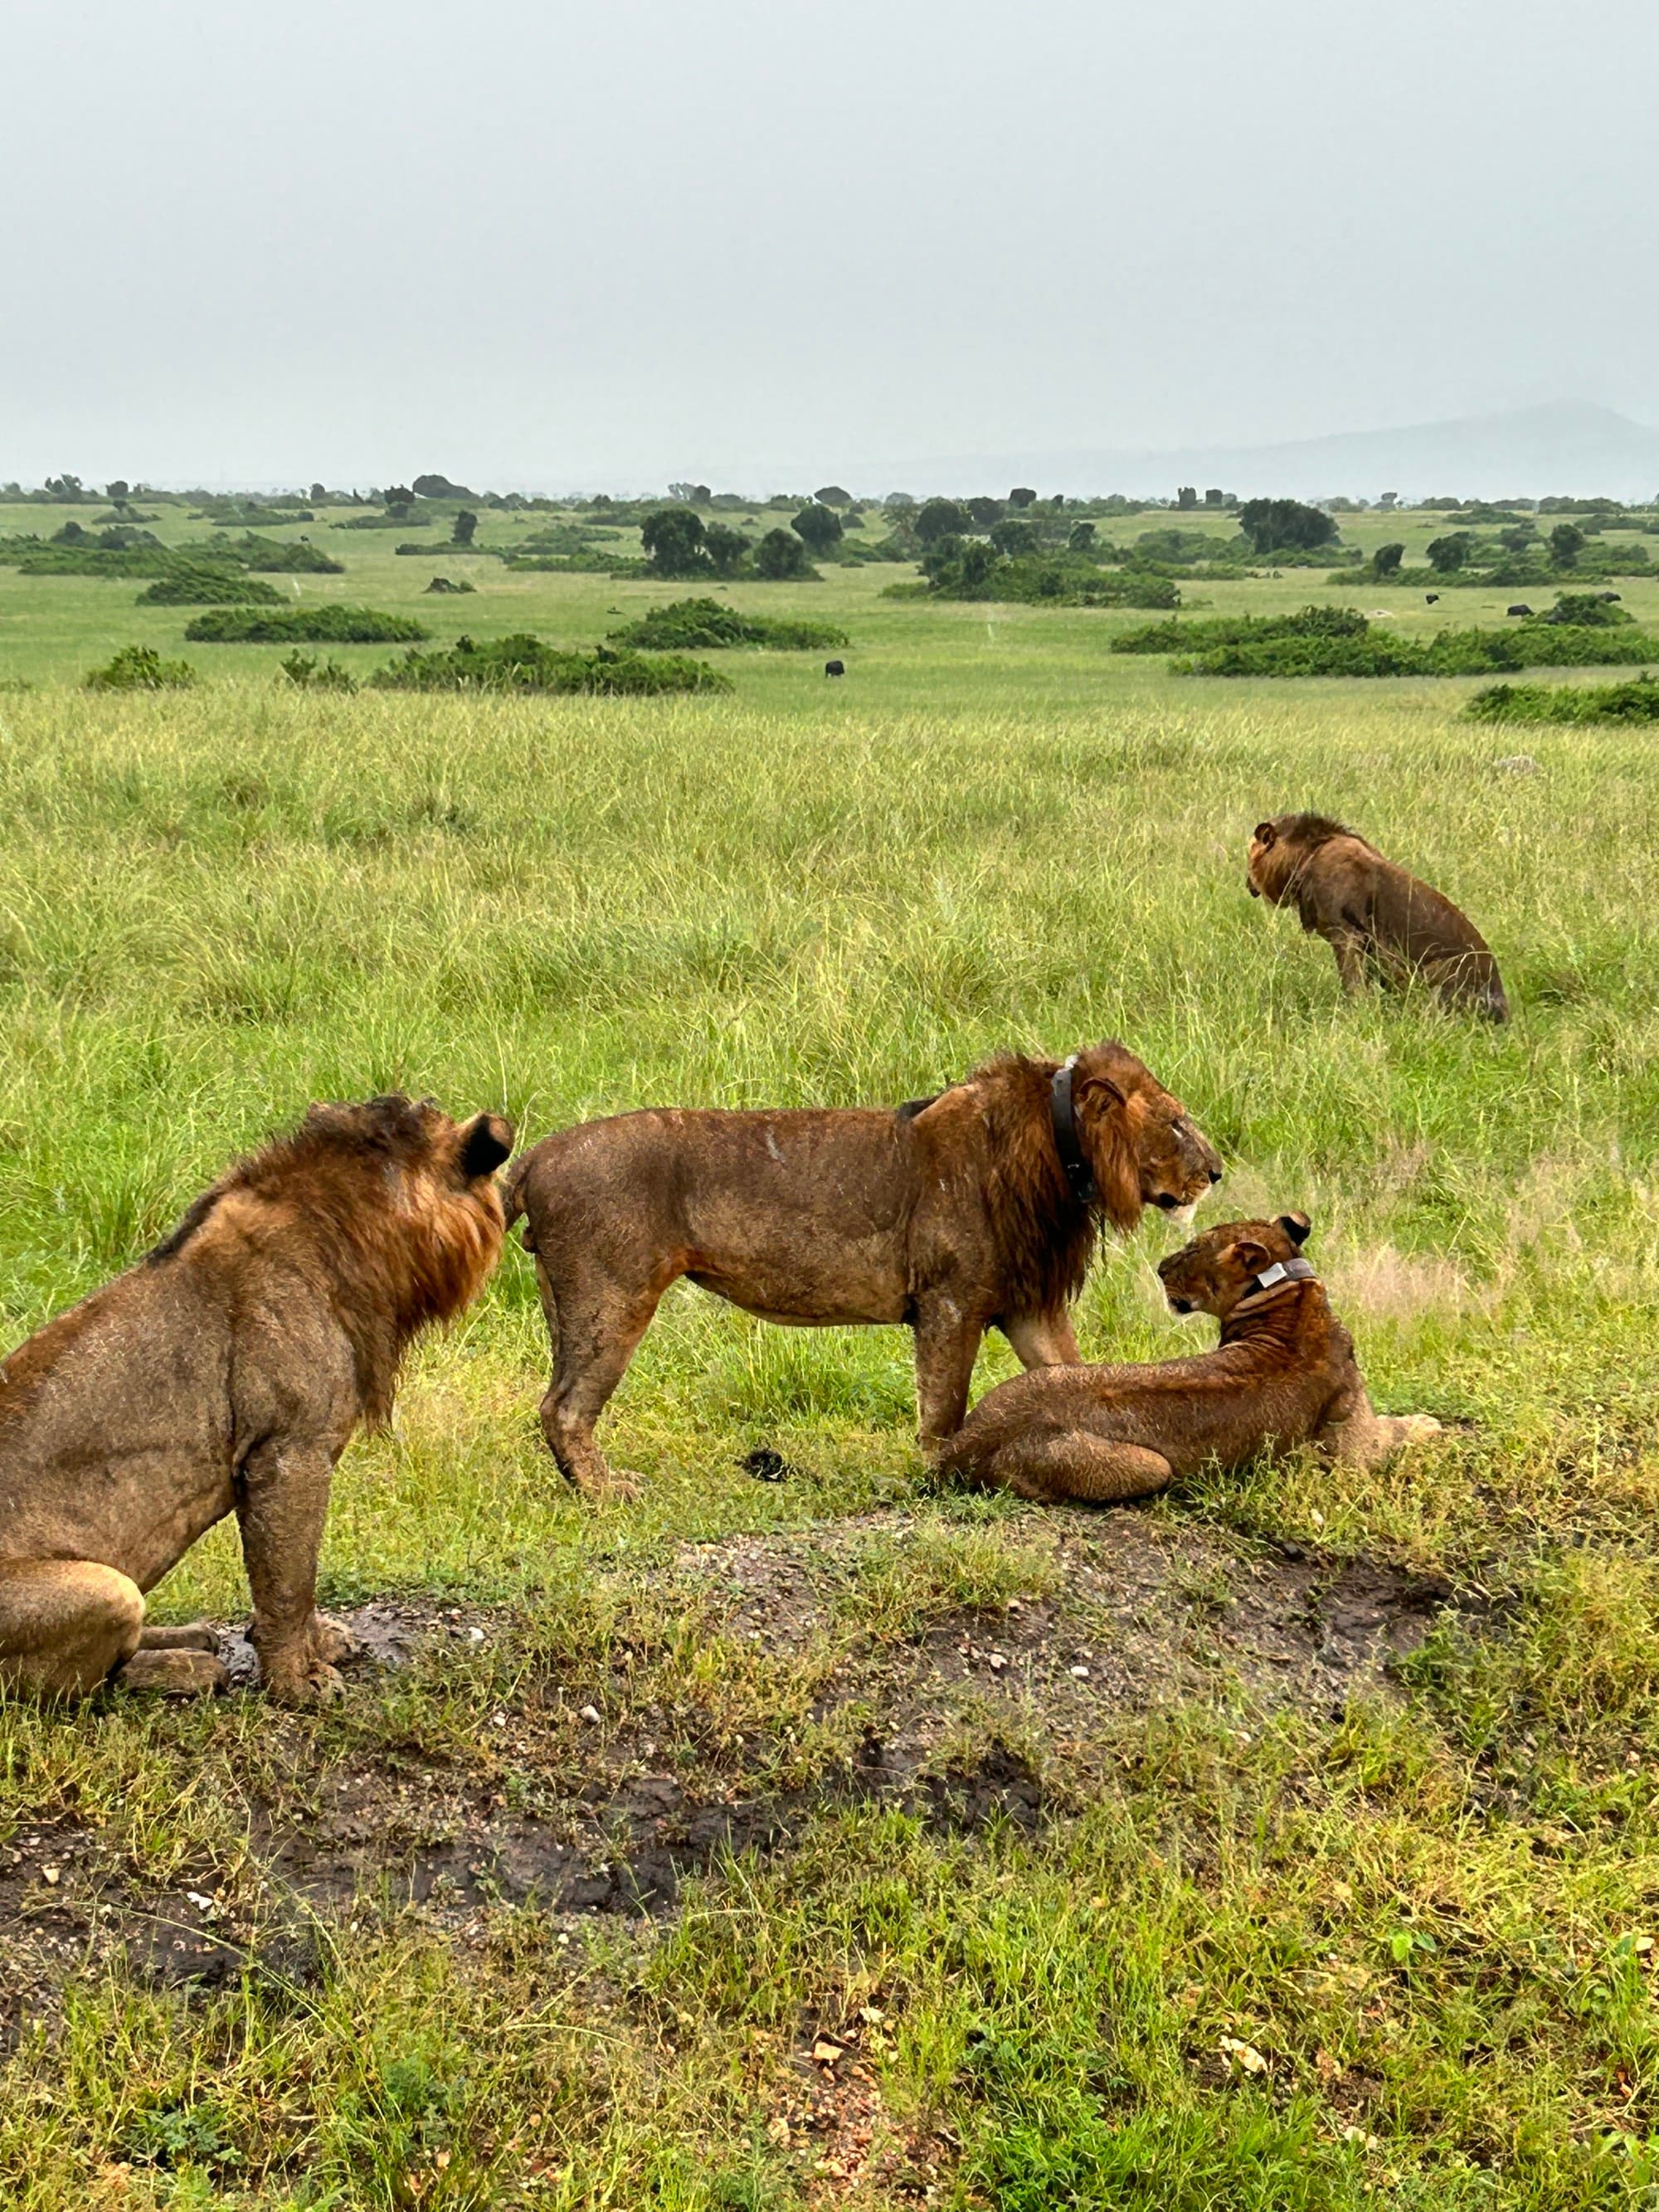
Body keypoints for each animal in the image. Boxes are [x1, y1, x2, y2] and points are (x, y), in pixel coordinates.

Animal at [0, 1095, 512, 1704]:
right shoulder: (288, 1450)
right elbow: (289, 1578)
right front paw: (297, 1681)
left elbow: (299, 1571)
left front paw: (323, 1643)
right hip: (105, 1589)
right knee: (83, 1687)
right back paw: (188, 1666)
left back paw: (188, 1638)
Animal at [504, 1042, 1223, 1498]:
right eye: (1176, 1122)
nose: (1217, 1172)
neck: (1059, 1154)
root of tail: (535, 1157)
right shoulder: (949, 1302)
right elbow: (945, 1408)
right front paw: (940, 1478)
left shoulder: (1027, 1304)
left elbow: (1068, 1373)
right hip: (613, 1296)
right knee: (565, 1406)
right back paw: (605, 1492)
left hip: (567, 1301)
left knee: (555, 1402)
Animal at [937, 1211, 1440, 1502]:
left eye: (1194, 1248)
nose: (1160, 1268)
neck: (1291, 1297)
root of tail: (964, 1445)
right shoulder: (1354, 1453)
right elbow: (1399, 1430)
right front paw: (1432, 1424)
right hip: (1151, 1467)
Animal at [1247, 812, 1508, 1020]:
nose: (1247, 883)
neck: (1306, 856)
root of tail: (1504, 1012)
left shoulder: (1346, 934)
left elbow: (1352, 984)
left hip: (1438, 972)